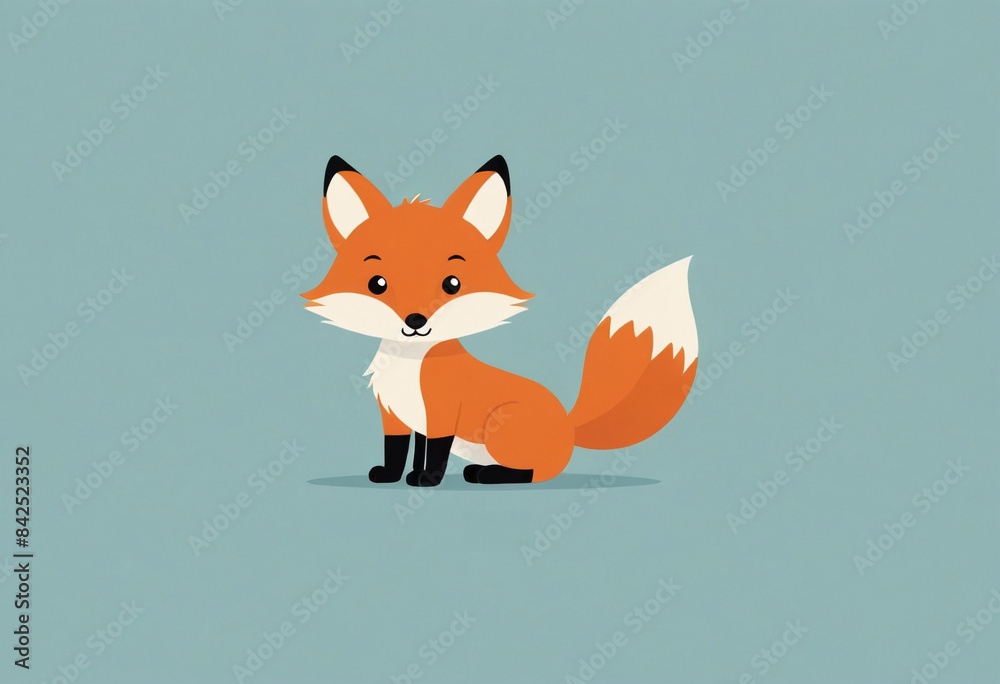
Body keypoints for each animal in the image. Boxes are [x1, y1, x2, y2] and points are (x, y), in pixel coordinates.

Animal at [303, 155, 698, 486]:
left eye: (452, 284)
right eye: (377, 284)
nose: (415, 320)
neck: (410, 365)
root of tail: (569, 425)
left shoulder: (443, 413)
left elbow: (435, 452)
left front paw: (428, 479)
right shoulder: (398, 417)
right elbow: (399, 450)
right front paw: (392, 476)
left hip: (500, 424)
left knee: (534, 474)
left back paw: (486, 474)